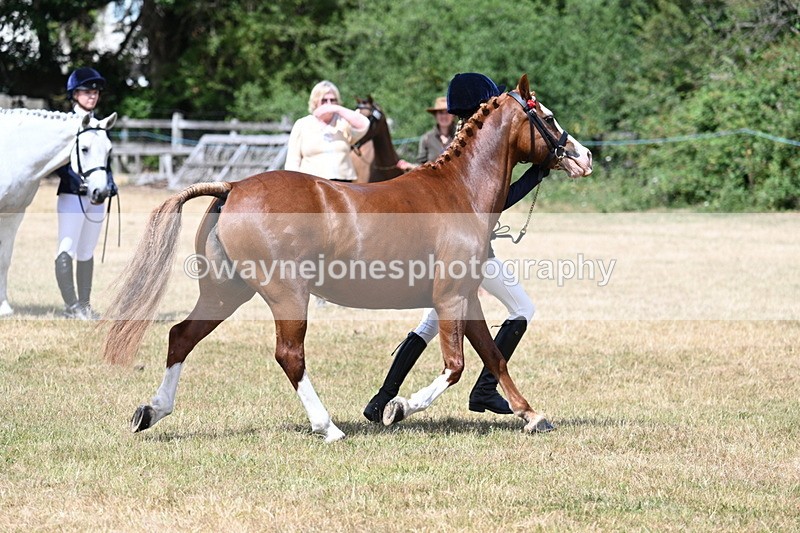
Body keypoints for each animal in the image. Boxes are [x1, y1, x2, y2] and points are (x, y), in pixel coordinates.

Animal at [0, 109, 117, 316]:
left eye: (109, 150)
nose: (101, 192)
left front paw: (4, 307)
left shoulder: (13, 215)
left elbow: (4, 260)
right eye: (84, 149)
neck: (11, 153)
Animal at [103, 74, 592, 442]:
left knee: (181, 336)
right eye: (548, 117)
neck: (459, 191)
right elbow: (455, 366)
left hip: (226, 292)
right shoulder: (451, 297)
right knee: (289, 355)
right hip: (286, 295)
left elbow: (493, 356)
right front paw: (399, 407)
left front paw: (531, 414)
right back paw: (328, 427)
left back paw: (151, 411)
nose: (584, 156)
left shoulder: (466, 298)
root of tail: (233, 187)